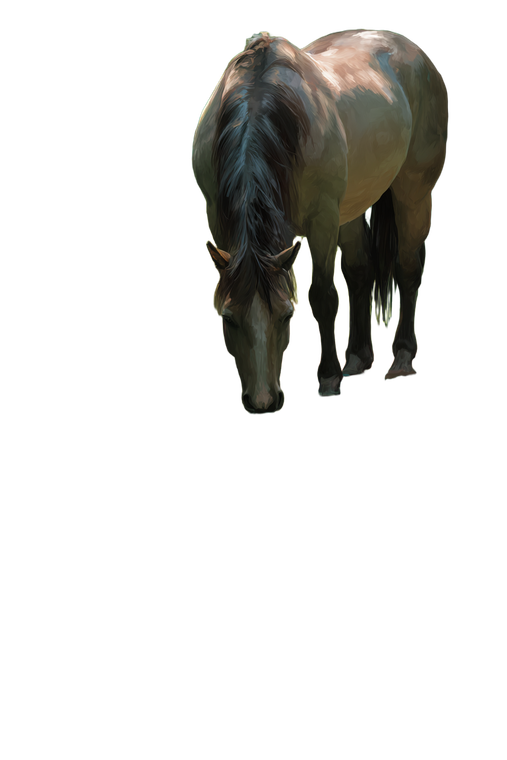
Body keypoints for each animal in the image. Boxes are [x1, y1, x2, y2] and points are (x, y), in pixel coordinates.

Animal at [190, 29, 449, 414]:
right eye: (228, 318)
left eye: (286, 315)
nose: (263, 402)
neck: (261, 102)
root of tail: (412, 51)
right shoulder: (219, 218)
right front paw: (340, 369)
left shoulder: (323, 219)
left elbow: (323, 296)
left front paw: (328, 378)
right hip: (352, 209)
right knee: (361, 272)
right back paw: (357, 359)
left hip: (412, 194)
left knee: (408, 268)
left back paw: (402, 358)